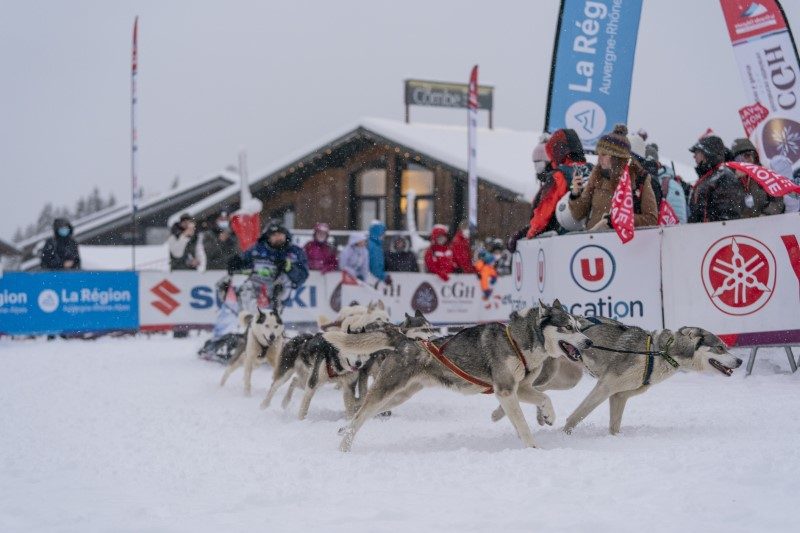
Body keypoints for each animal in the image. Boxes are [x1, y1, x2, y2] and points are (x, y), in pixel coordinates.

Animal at [324, 300, 592, 448]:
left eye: (579, 327)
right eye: (568, 327)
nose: (589, 342)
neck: (517, 342)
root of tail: (405, 340)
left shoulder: (521, 388)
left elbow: (545, 397)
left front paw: (548, 415)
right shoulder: (506, 390)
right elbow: (523, 424)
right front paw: (532, 447)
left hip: (398, 396)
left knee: (361, 414)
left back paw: (343, 430)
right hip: (386, 389)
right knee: (360, 416)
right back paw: (344, 447)